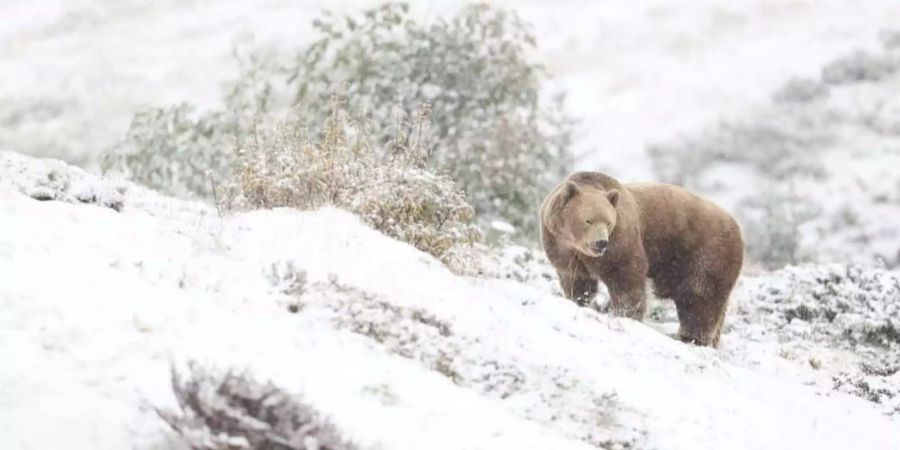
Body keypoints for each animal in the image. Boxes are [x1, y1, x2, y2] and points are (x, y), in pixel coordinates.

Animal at [536, 171, 740, 346]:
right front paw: (578, 300)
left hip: (705, 253)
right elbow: (576, 280)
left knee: (699, 297)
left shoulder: (621, 238)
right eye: (588, 220)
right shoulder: (562, 248)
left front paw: (626, 314)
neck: (574, 244)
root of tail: (737, 228)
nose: (601, 242)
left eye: (608, 222)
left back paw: (692, 337)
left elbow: (626, 277)